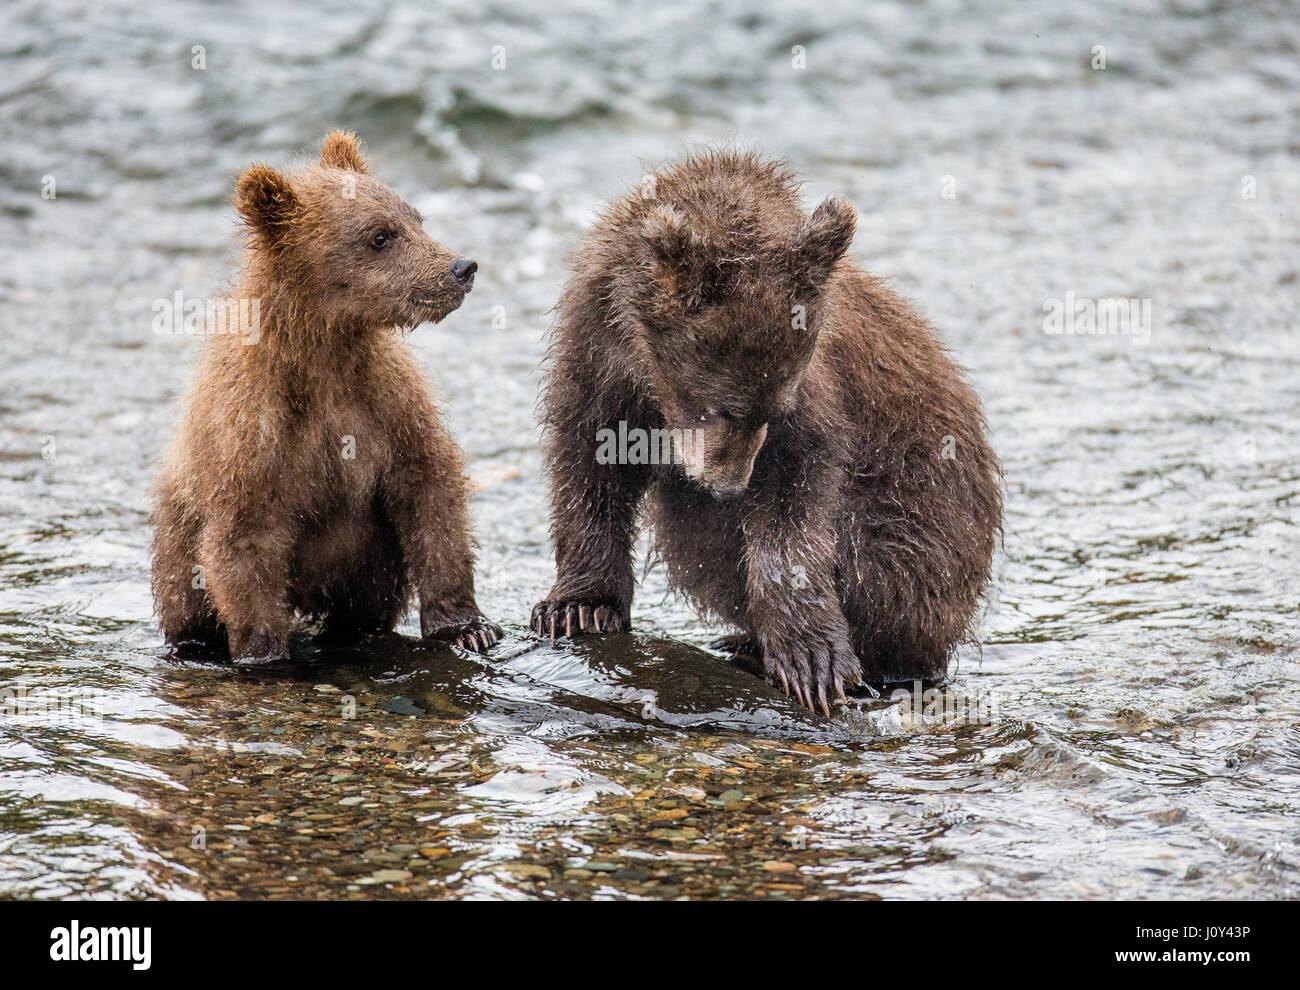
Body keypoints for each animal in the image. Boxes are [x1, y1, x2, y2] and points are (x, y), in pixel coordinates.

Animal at [150, 130, 500, 659]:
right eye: (380, 236)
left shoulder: (388, 402)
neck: (324, 356)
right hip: (175, 540)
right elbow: (245, 541)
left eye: (415, 218)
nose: (463, 267)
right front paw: (265, 652)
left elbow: (430, 491)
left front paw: (467, 626)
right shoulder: (253, 433)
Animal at [531, 149, 1001, 714]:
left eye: (767, 410)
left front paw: (812, 661)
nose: (728, 487)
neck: (644, 364)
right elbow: (588, 460)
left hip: (920, 516)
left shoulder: (811, 401)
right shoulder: (596, 348)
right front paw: (577, 607)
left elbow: (793, 506)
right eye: (720, 407)